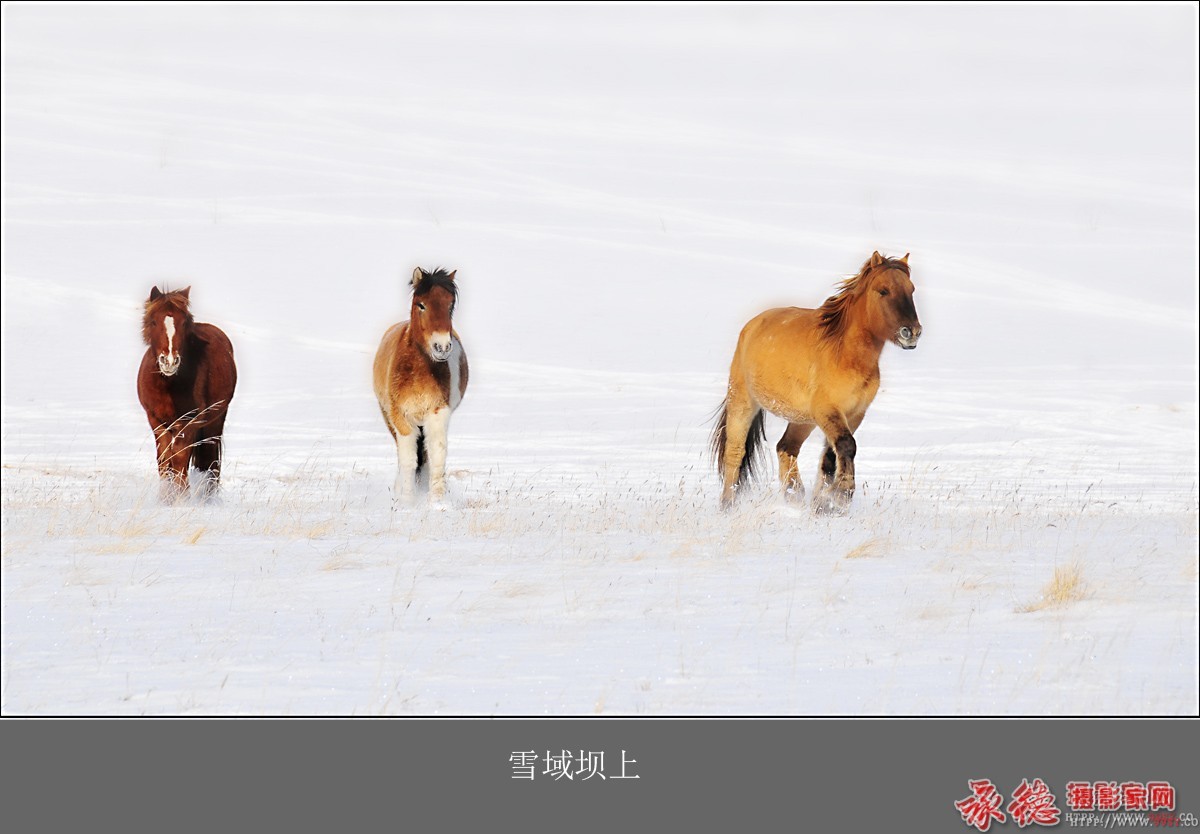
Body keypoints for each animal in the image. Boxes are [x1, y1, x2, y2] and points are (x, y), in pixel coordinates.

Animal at [137, 286, 237, 499]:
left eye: (183, 323)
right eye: (154, 321)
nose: (169, 361)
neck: (169, 385)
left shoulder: (189, 422)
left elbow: (180, 457)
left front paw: (182, 498)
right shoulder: (156, 421)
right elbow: (165, 459)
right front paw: (165, 498)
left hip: (215, 421)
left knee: (210, 458)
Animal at [372, 267, 470, 501]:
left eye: (450, 305)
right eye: (421, 305)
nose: (441, 347)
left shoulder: (438, 413)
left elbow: (437, 454)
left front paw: (437, 500)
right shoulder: (400, 417)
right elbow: (408, 459)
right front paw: (407, 500)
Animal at [705, 250, 921, 511]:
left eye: (911, 290)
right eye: (883, 290)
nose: (911, 332)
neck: (845, 354)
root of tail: (751, 326)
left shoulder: (854, 414)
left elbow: (831, 456)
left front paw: (824, 504)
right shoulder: (828, 410)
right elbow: (847, 445)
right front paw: (842, 494)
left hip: (803, 419)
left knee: (786, 447)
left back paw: (794, 495)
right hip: (743, 403)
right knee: (735, 452)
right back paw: (728, 505)